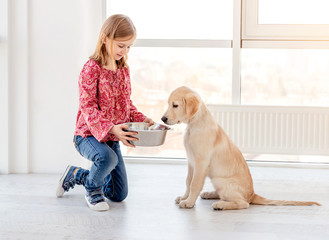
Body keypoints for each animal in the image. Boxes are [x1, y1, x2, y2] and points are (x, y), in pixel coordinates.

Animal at [160, 86, 320, 210]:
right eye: (168, 104)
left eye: (175, 105)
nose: (163, 119)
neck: (194, 125)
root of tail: (252, 195)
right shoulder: (191, 161)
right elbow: (188, 181)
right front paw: (184, 197)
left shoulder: (201, 162)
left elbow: (195, 183)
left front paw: (188, 202)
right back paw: (210, 194)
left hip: (221, 181)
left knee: (243, 203)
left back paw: (221, 204)